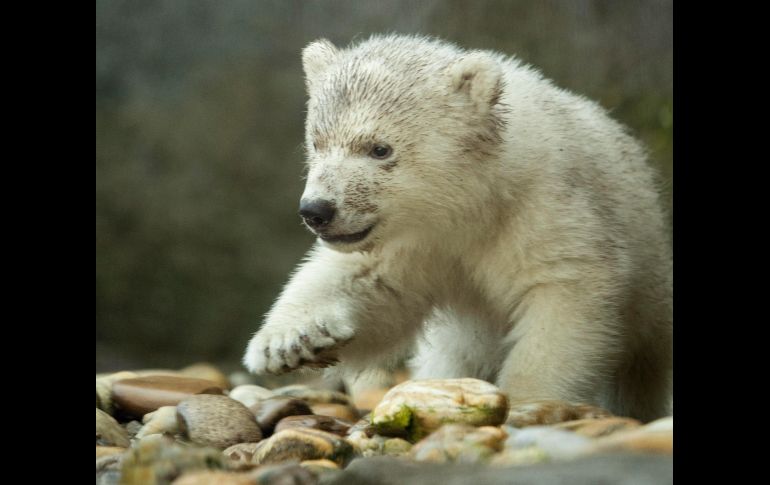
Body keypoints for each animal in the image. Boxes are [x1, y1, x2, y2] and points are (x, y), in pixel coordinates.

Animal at [243, 34, 672, 425]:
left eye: (380, 148)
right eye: (317, 142)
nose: (317, 210)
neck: (479, 201)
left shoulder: (546, 207)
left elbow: (563, 295)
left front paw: (528, 400)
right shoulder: (417, 241)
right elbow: (372, 285)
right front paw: (288, 341)